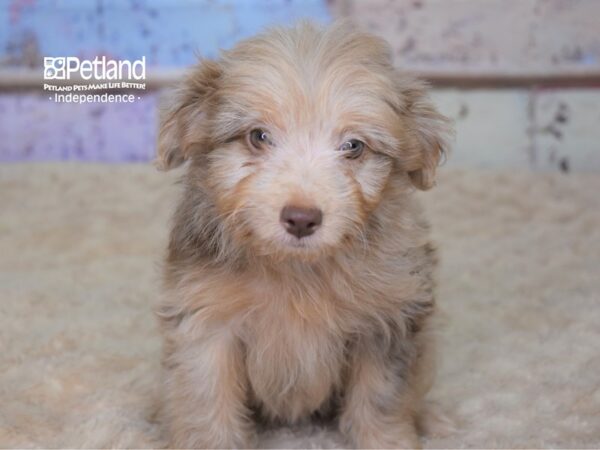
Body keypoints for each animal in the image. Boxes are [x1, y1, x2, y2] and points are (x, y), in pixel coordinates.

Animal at [155, 19, 450, 448]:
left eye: (353, 146)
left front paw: (389, 439)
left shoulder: (386, 321)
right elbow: (207, 403)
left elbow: (380, 399)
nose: (301, 218)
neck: (298, 271)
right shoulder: (207, 323)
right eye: (258, 136)